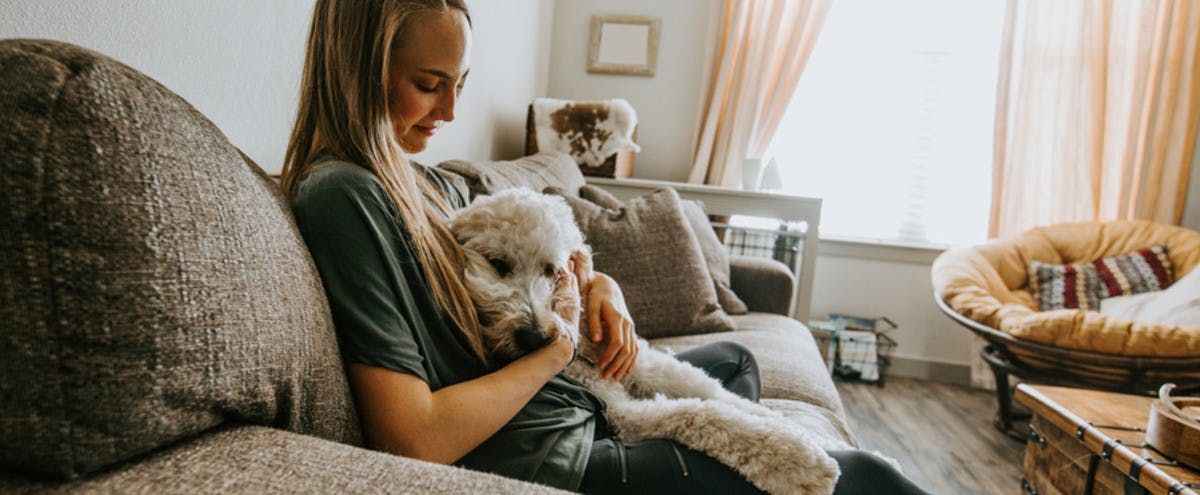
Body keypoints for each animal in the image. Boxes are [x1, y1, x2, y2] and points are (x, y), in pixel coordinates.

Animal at [453, 187, 840, 492]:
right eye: (498, 263)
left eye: (552, 270)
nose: (533, 336)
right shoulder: (623, 412)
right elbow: (699, 414)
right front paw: (799, 462)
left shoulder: (649, 365)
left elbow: (719, 396)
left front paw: (791, 429)